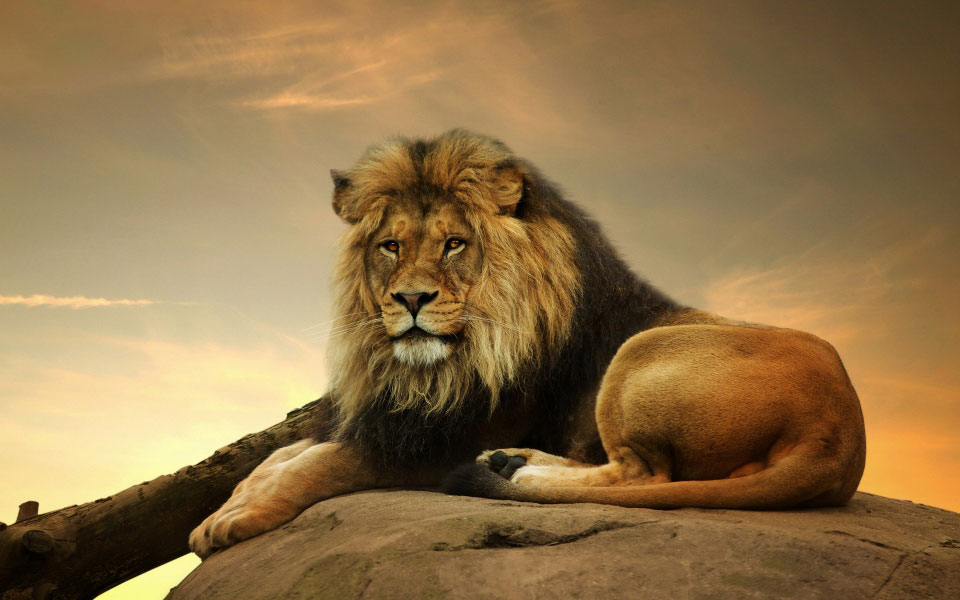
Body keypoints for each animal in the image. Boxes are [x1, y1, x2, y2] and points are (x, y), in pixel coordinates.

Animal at [188, 129, 866, 558]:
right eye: (390, 246)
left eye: (453, 245)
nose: (410, 300)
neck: (432, 370)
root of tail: (840, 436)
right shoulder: (390, 416)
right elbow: (281, 456)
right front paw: (226, 508)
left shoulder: (435, 441)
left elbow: (322, 463)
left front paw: (237, 519)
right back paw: (512, 464)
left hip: (640, 354)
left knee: (641, 475)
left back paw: (516, 471)